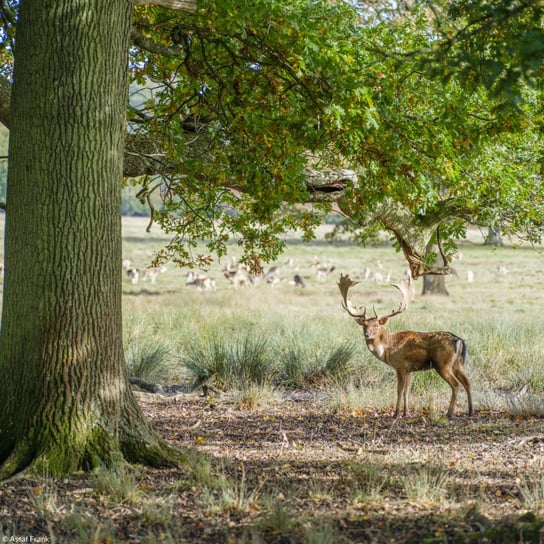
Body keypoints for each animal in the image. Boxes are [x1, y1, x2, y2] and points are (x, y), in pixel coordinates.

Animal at [338, 274, 474, 418]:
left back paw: (449, 413)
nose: (367, 334)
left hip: (443, 364)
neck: (387, 349)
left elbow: (399, 390)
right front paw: (406, 412)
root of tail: (459, 340)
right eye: (364, 325)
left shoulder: (400, 366)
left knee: (456, 384)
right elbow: (407, 391)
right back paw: (470, 411)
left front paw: (396, 413)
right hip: (458, 363)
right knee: (468, 382)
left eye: (376, 325)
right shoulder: (409, 369)